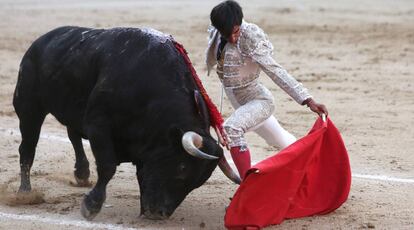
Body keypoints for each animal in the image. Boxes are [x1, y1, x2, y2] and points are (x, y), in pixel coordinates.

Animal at [13, 26, 239, 220]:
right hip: (29, 108)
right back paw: (25, 192)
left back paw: (82, 173)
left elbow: (140, 174)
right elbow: (108, 167)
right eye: (182, 168)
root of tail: (39, 43)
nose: (159, 213)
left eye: (198, 182)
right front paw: (91, 206)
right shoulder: (98, 125)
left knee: (72, 134)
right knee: (27, 148)